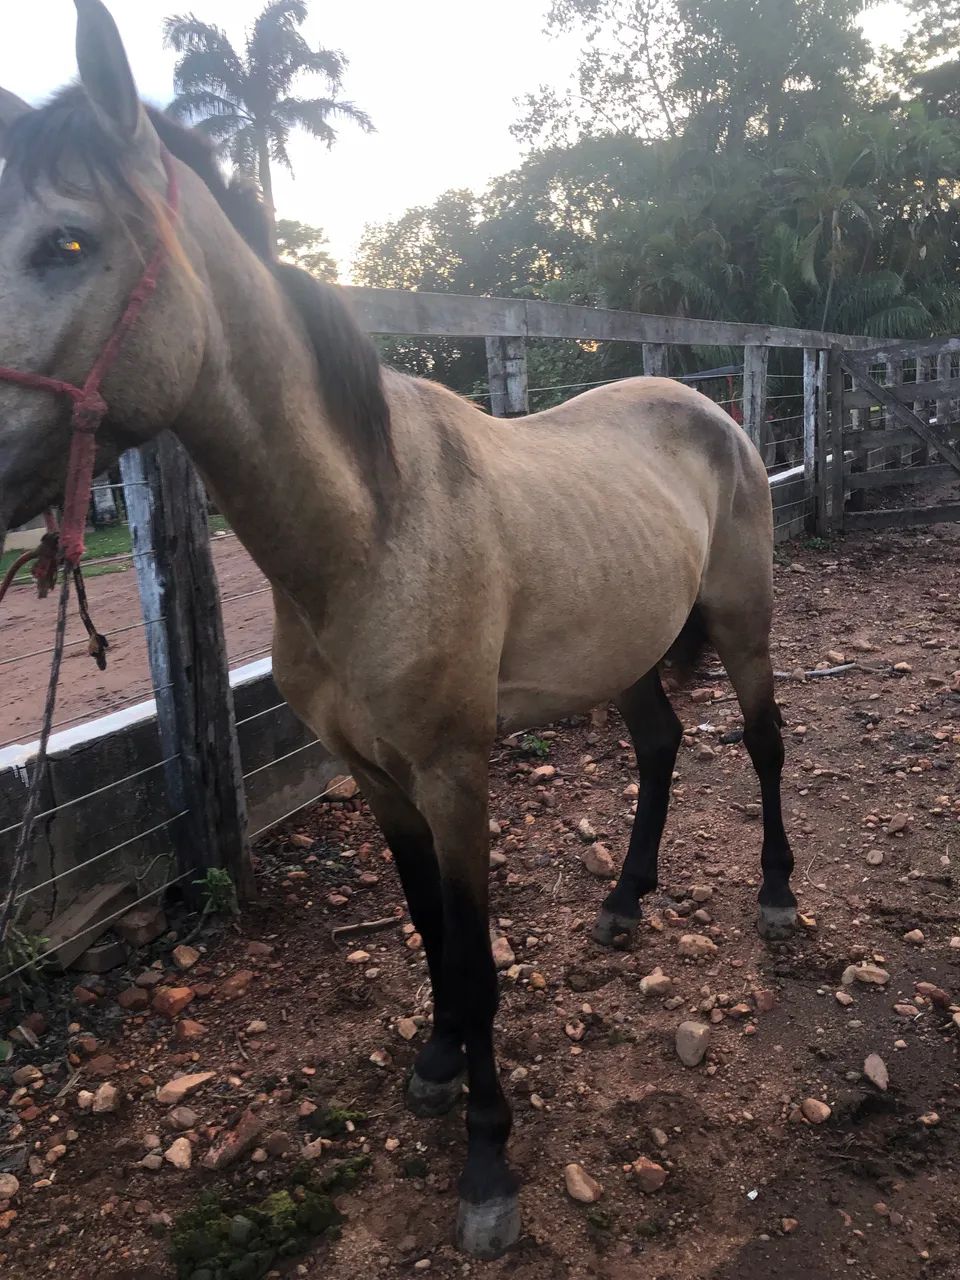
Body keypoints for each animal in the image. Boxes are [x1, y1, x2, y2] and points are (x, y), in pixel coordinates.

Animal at [0, 1, 796, 1258]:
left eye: (64, 244)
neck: (370, 528)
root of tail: (708, 405)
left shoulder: (455, 773)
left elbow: (474, 955)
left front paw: (487, 1160)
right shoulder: (375, 777)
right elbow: (427, 933)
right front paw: (434, 1064)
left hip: (744, 620)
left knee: (763, 744)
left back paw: (776, 896)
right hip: (624, 648)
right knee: (663, 746)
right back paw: (623, 902)